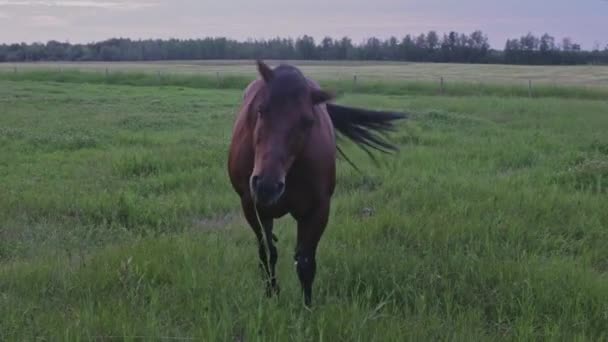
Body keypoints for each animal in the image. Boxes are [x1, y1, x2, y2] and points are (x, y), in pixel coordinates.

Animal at [226, 60, 406, 306]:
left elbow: (305, 263)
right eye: (261, 110)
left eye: (308, 122)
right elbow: (267, 253)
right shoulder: (251, 206)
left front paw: (307, 308)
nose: (267, 185)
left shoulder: (318, 209)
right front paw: (272, 293)